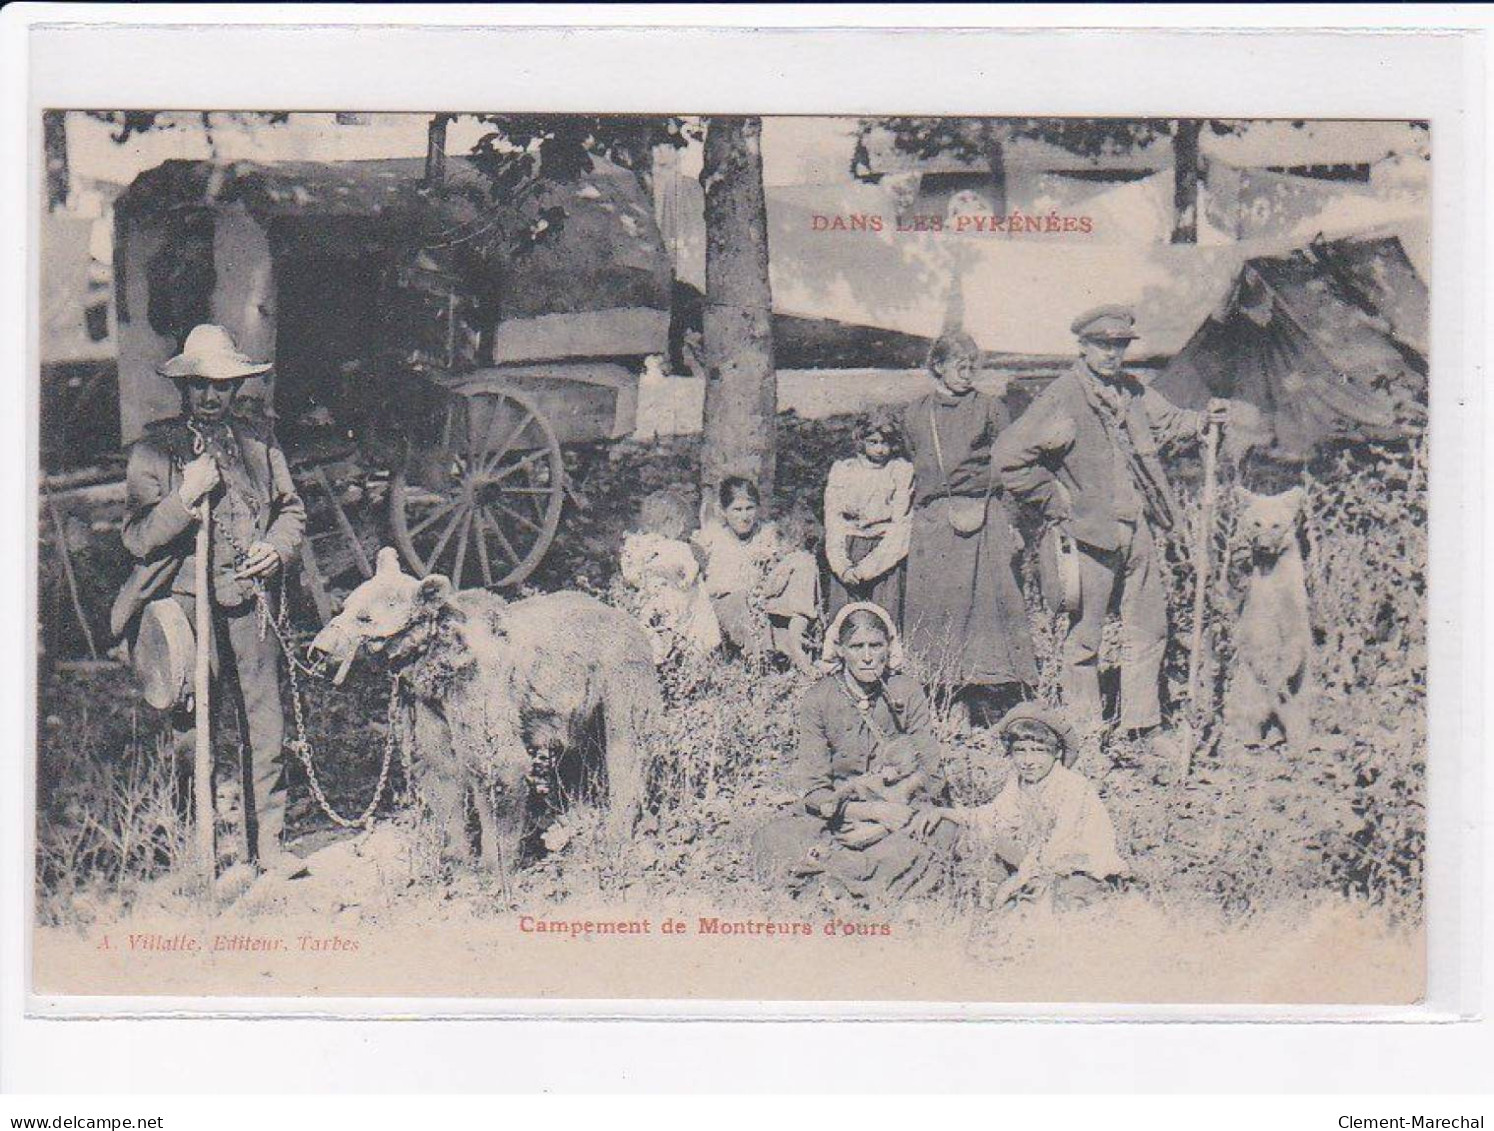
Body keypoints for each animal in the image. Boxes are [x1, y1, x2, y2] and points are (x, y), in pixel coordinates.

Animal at [312, 546, 663, 872]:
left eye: (365, 617)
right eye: (346, 607)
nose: (320, 648)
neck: (436, 663)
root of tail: (620, 612)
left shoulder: (476, 688)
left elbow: (495, 764)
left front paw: (494, 862)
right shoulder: (429, 707)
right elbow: (440, 768)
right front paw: (456, 855)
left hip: (617, 674)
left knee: (627, 745)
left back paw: (617, 828)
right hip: (582, 710)